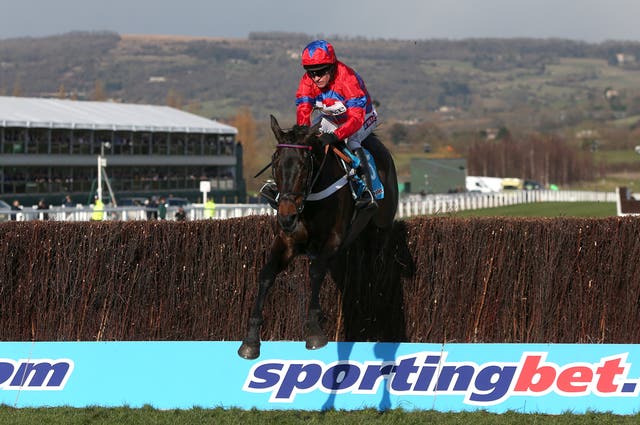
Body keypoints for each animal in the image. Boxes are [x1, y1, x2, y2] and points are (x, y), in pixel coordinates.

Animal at [236, 115, 396, 358]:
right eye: (275, 163)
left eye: (304, 166)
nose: (287, 215)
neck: (310, 199)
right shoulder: (286, 241)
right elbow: (266, 275)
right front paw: (251, 339)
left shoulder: (334, 239)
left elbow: (316, 272)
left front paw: (313, 330)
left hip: (384, 221)